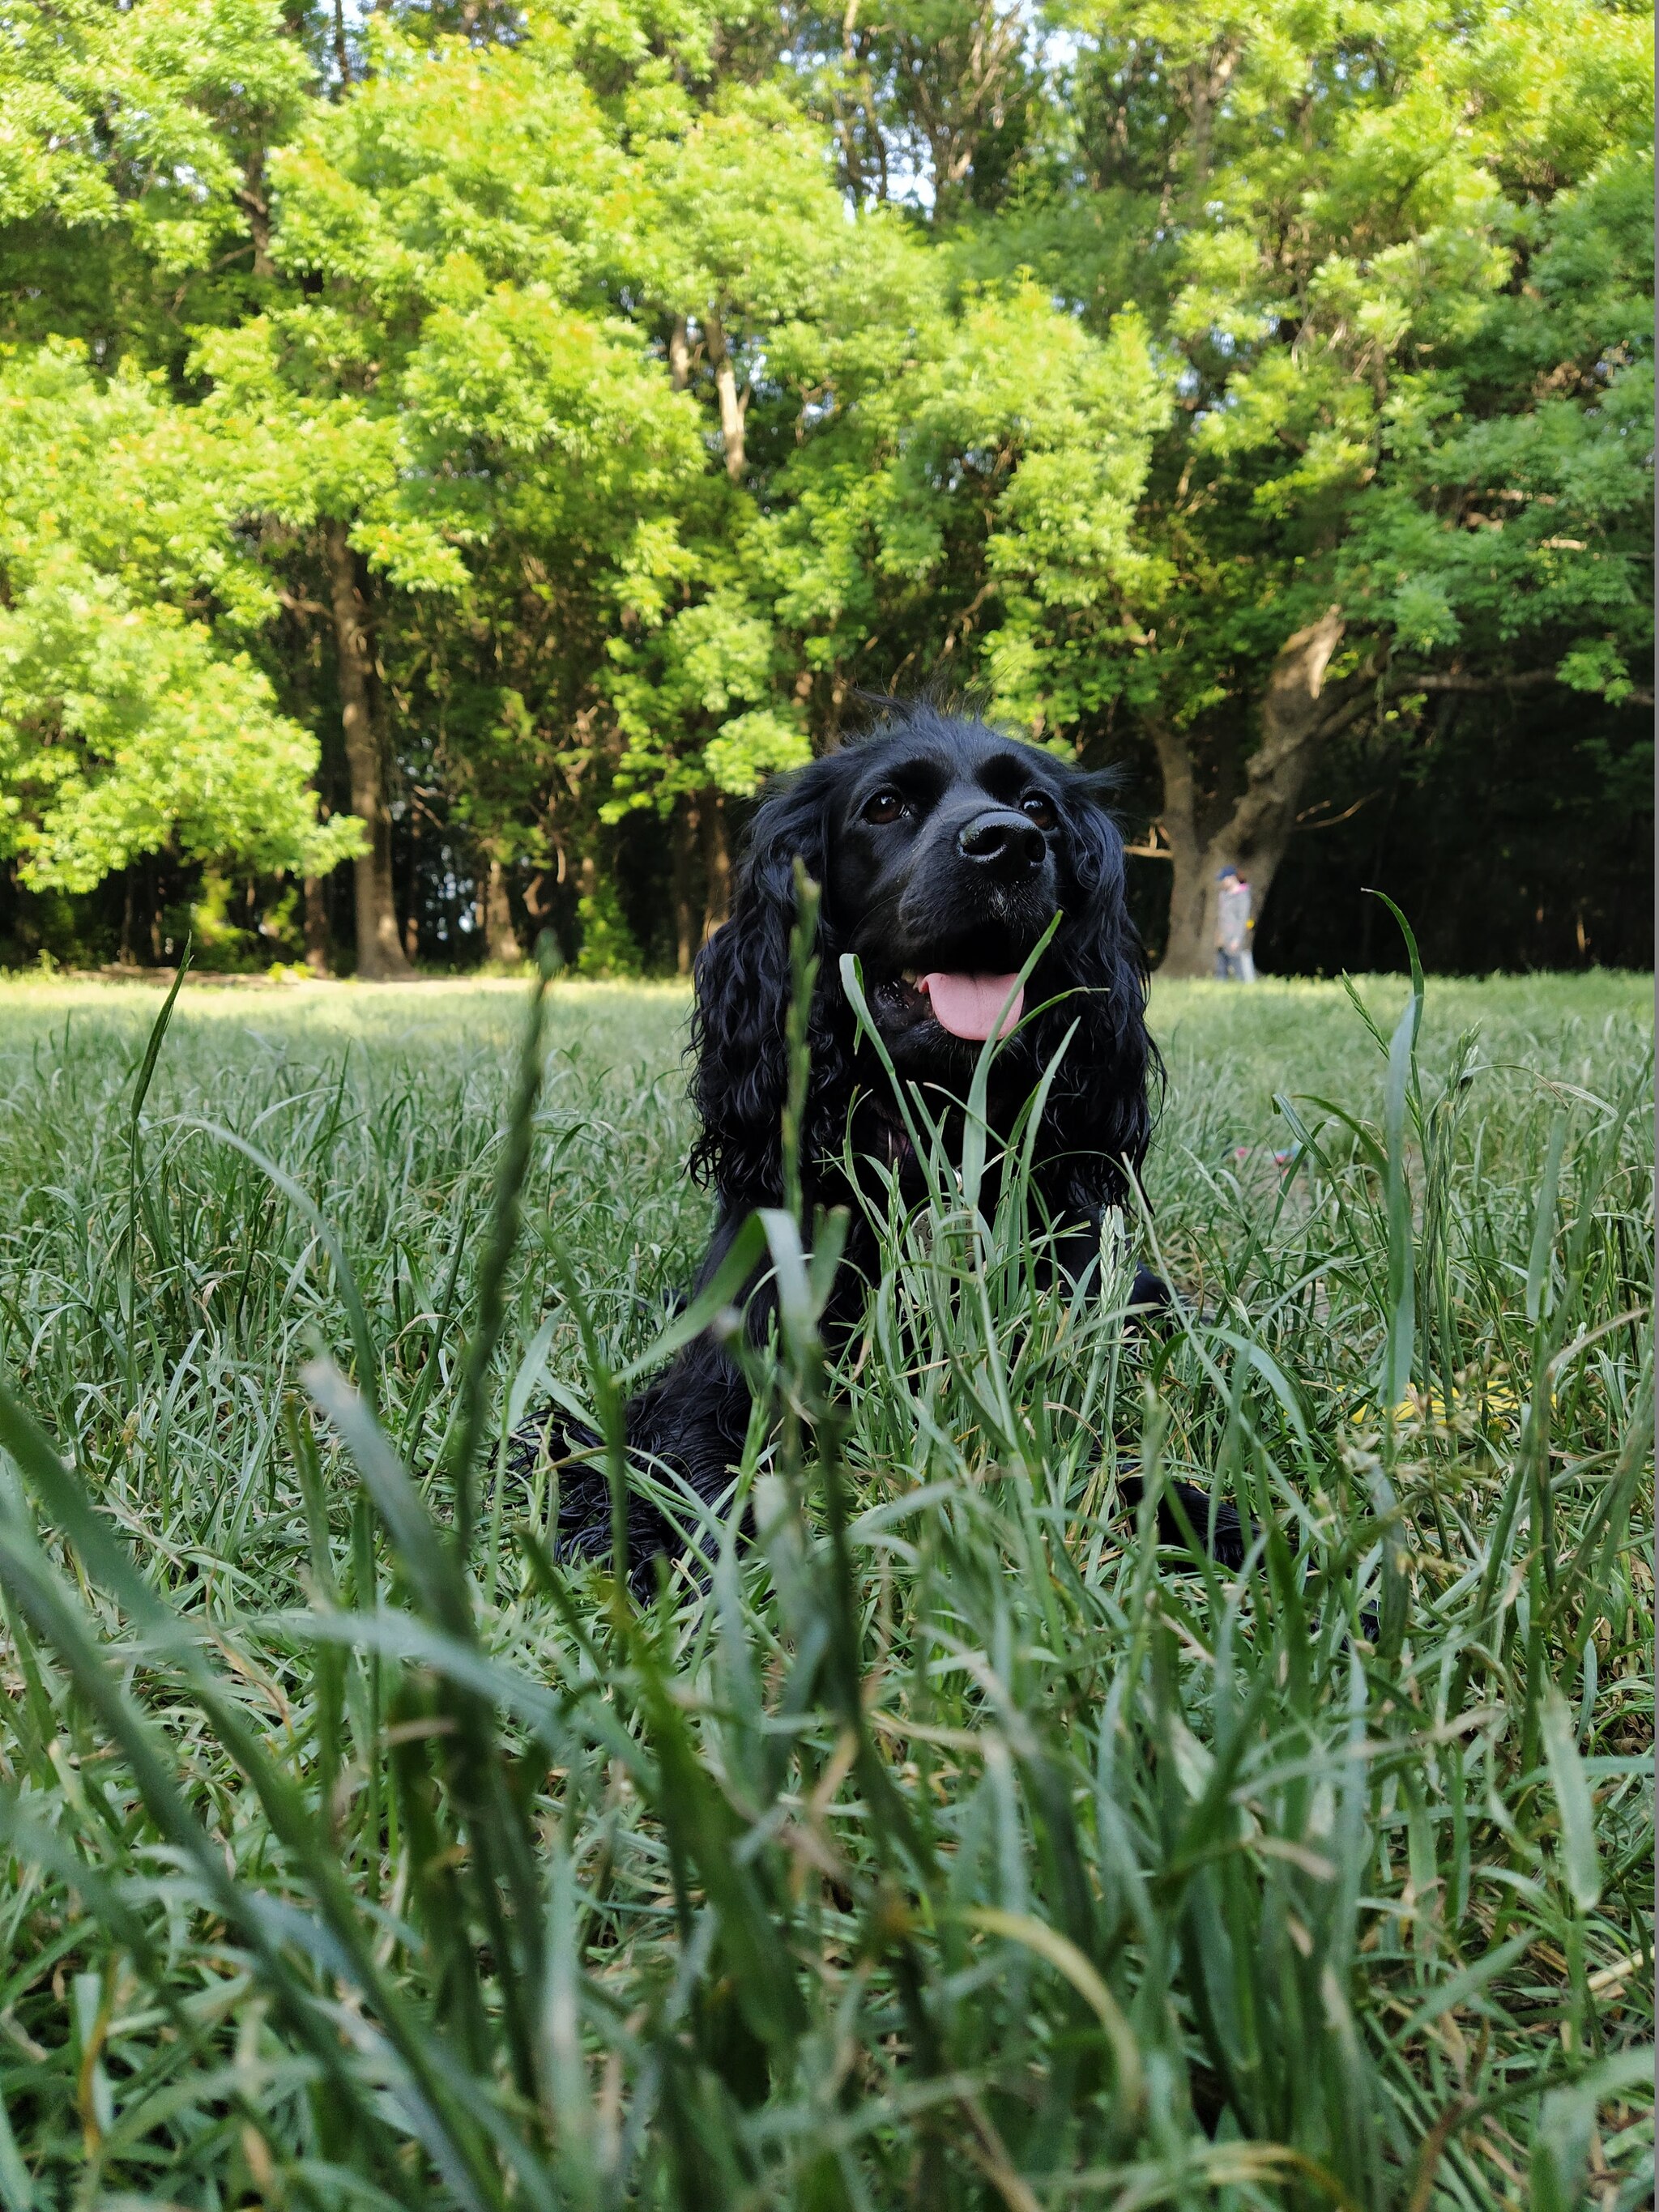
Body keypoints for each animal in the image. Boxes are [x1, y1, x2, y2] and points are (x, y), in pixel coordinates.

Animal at [526, 703, 1239, 1575]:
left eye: (1039, 810)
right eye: (887, 805)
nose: (1010, 844)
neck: (934, 1141)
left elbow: (1112, 1461)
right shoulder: (736, 1350)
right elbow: (690, 1446)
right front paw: (656, 1536)